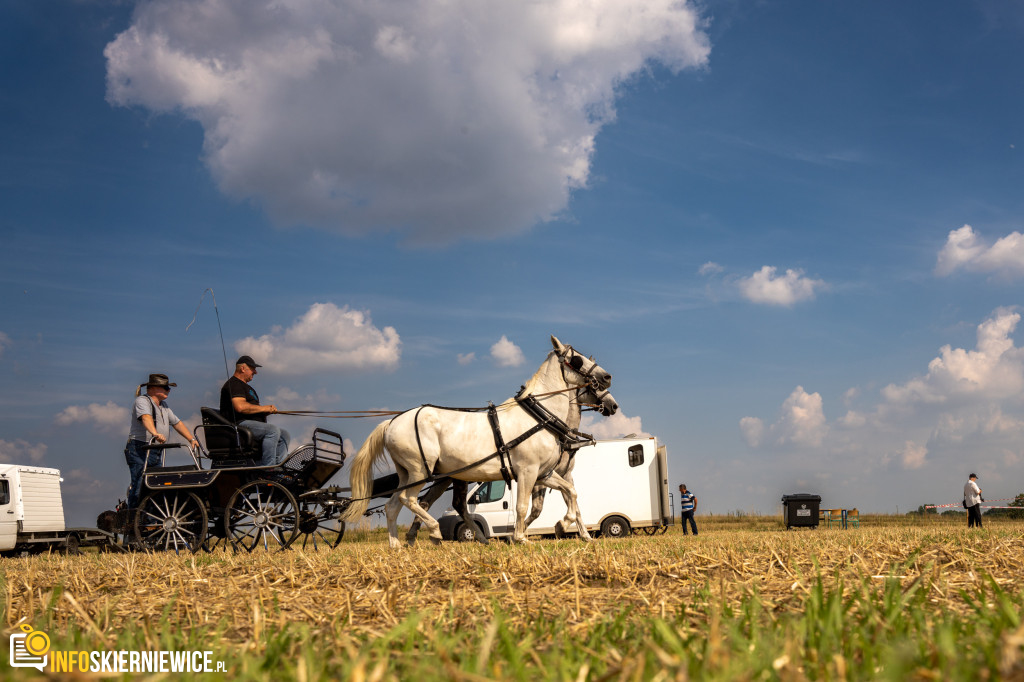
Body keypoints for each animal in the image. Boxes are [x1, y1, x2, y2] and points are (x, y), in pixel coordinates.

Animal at [344, 335, 614, 548]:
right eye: (577, 359)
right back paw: (433, 532)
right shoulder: (528, 471)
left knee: (393, 506)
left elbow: (571, 492)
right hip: (421, 471)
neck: (539, 416)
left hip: (408, 474)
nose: (607, 377)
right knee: (410, 500)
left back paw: (397, 545)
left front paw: (563, 525)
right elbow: (523, 506)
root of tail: (392, 422)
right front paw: (519, 537)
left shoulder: (544, 473)